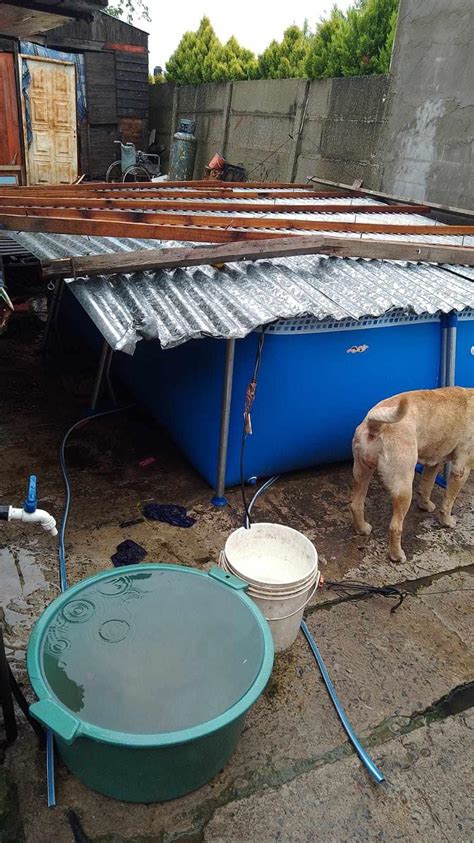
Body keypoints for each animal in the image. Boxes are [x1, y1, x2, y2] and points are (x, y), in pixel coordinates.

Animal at [350, 388, 472, 560]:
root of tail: (376, 424)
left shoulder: (434, 462)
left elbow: (426, 485)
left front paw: (425, 505)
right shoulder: (461, 470)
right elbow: (448, 501)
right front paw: (446, 521)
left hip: (362, 473)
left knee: (356, 504)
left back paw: (362, 529)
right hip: (403, 487)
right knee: (395, 526)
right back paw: (397, 555)